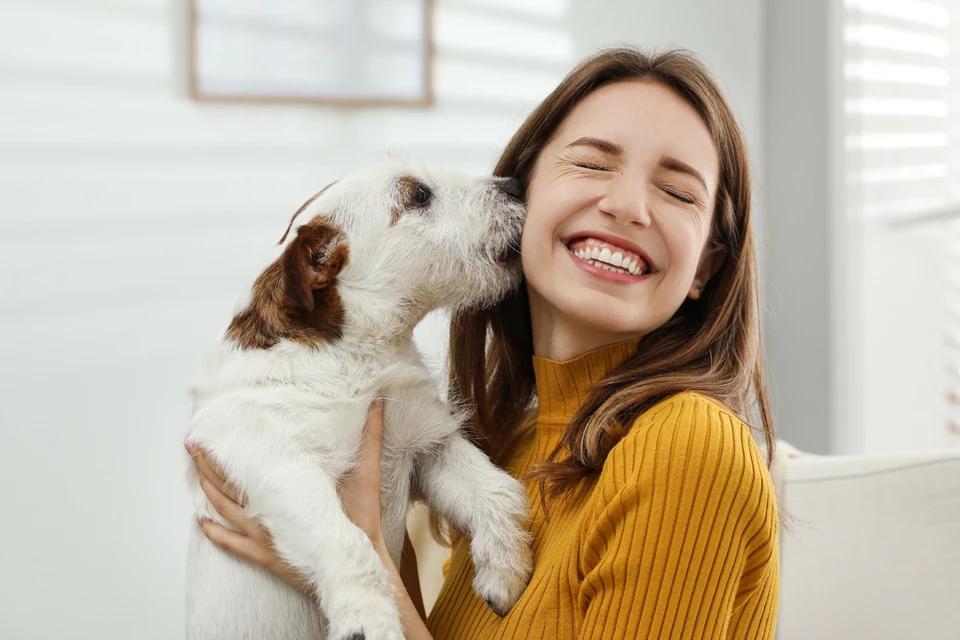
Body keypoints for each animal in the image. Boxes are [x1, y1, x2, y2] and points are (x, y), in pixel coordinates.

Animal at [184, 156, 536, 640]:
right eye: (418, 195)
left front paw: (504, 568)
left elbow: (497, 492)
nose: (516, 185)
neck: (358, 359)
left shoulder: (427, 445)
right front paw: (368, 619)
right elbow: (347, 543)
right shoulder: (277, 462)